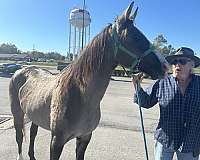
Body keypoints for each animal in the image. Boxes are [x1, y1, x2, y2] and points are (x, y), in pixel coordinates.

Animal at [9, 1, 169, 160]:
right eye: (135, 37)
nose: (165, 66)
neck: (79, 95)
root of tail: (21, 71)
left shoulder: (85, 137)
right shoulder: (56, 142)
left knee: (32, 134)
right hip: (17, 114)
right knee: (19, 137)